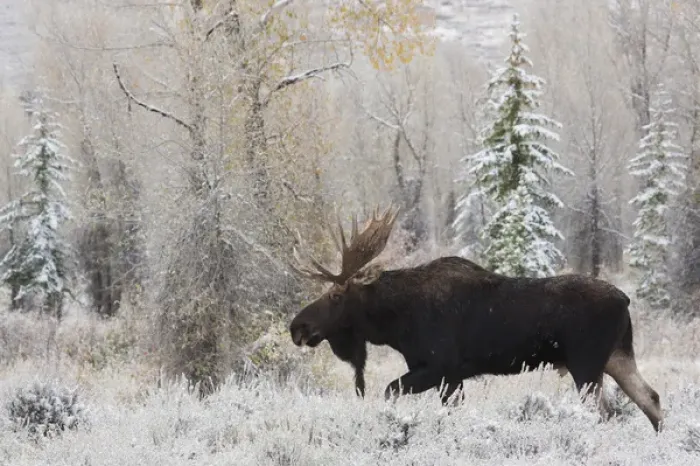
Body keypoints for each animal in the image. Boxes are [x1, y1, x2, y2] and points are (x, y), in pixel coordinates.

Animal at [288, 205, 663, 432]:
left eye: (336, 296)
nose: (297, 326)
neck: (395, 324)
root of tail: (625, 299)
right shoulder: (453, 376)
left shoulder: (439, 367)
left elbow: (389, 390)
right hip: (616, 357)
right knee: (651, 399)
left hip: (585, 365)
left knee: (606, 413)